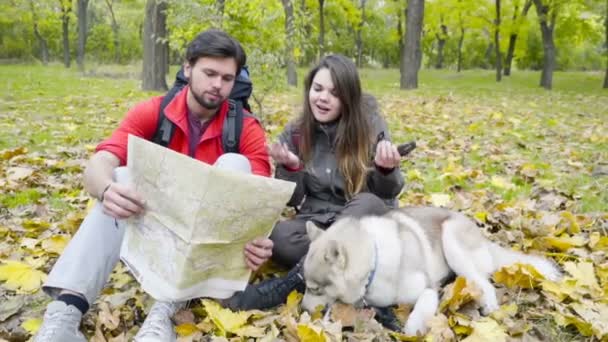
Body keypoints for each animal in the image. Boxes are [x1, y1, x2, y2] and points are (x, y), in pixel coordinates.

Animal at [302, 207, 564, 336]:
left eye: (314, 288)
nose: (302, 309)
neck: (374, 260)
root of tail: (483, 239)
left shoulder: (426, 288)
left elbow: (422, 305)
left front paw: (413, 327)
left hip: (452, 241)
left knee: (482, 281)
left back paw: (487, 302)